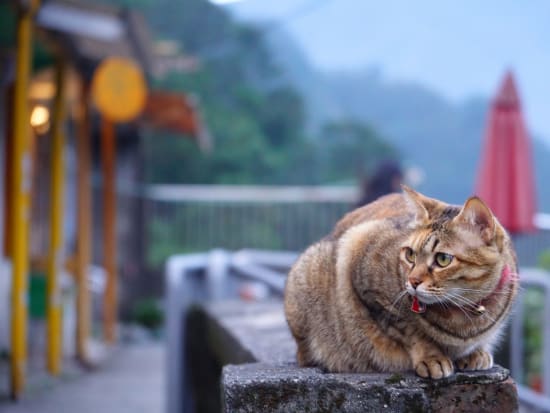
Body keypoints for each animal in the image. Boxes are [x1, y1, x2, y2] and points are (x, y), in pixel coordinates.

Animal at [286, 187, 520, 376]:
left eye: (443, 259)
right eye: (410, 255)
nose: (413, 281)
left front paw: (476, 352)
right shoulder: (362, 266)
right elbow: (409, 330)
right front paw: (431, 357)